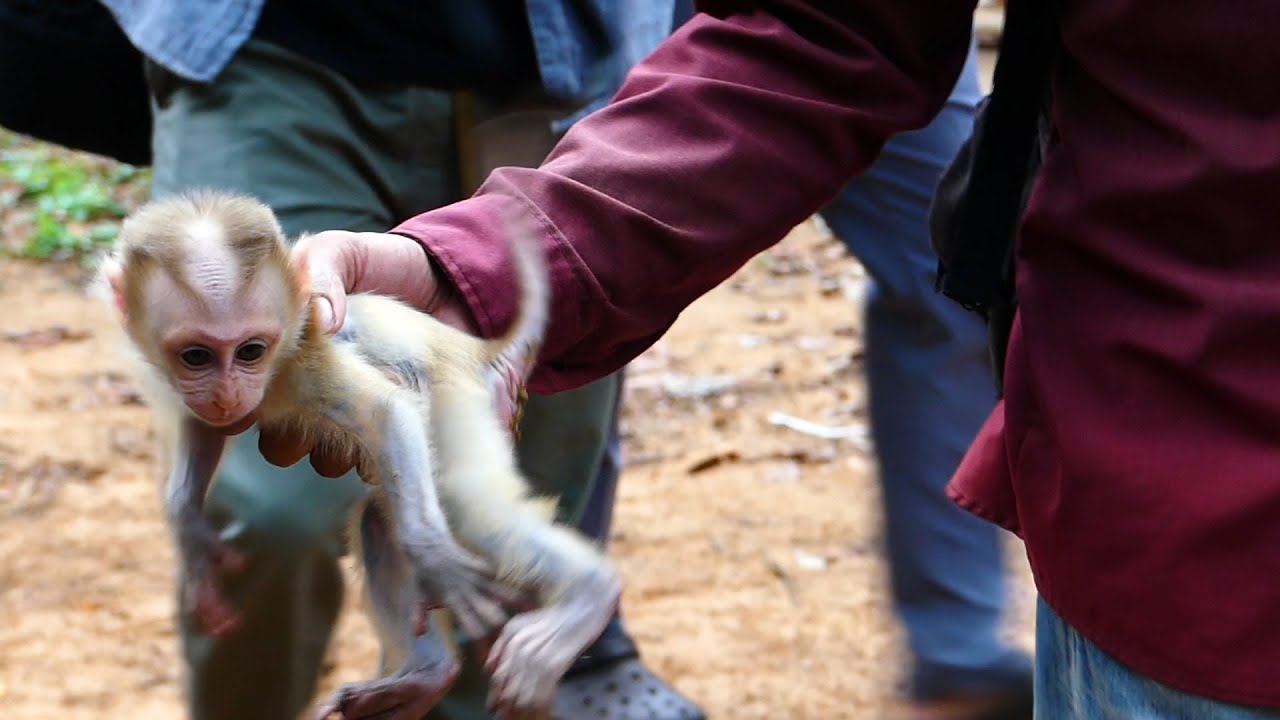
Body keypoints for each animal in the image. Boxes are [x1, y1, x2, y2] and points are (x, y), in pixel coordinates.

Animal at [96, 190, 623, 720]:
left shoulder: (305, 356)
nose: (227, 392)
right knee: (378, 521)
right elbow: (203, 426)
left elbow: (388, 413)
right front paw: (191, 534)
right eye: (196, 357)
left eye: (250, 351)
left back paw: (591, 594)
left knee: (467, 508)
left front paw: (438, 559)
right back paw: (426, 675)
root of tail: (472, 348)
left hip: (460, 396)